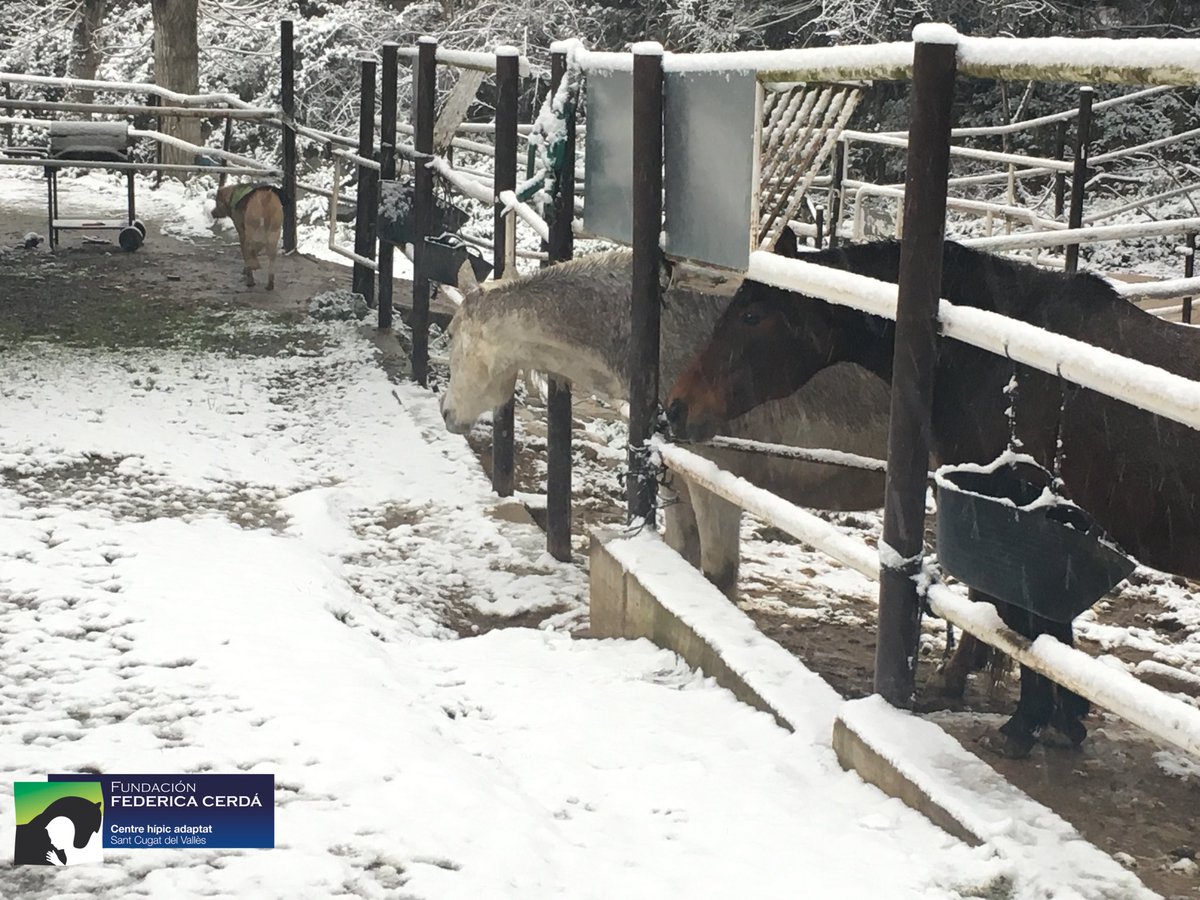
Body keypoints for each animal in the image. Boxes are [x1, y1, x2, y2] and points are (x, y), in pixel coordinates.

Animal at [666, 239, 1200, 757]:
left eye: (752, 316)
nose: (677, 408)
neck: (1005, 365)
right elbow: (1047, 625)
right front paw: (1063, 721)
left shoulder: (1025, 518)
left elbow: (1028, 620)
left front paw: (1023, 727)